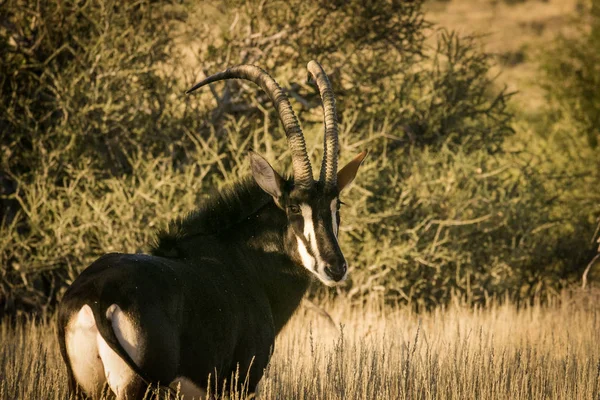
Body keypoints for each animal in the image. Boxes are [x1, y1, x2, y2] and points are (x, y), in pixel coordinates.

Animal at [57, 61, 366, 398]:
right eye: (294, 208)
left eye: (337, 205)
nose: (335, 267)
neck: (246, 259)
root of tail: (96, 296)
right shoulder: (242, 382)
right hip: (138, 387)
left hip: (83, 387)